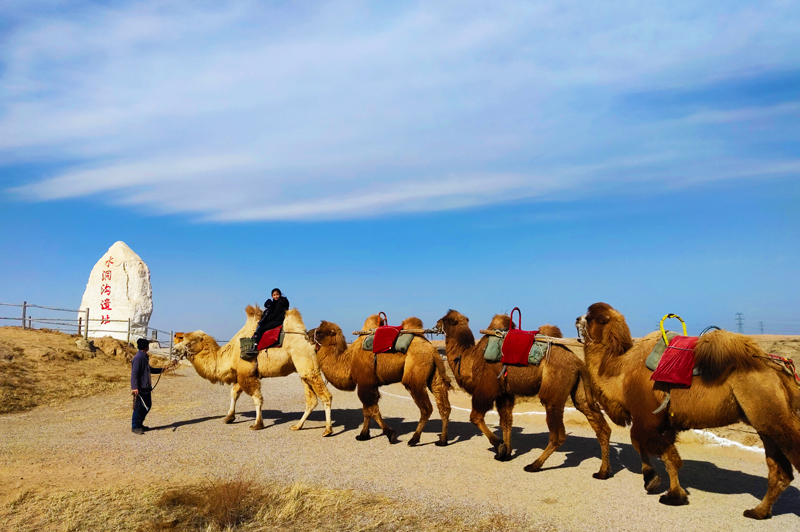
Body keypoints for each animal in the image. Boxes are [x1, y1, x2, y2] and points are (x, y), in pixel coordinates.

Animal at [177, 306, 332, 434]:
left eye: (189, 342)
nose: (175, 349)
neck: (231, 353)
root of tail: (312, 342)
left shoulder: (248, 374)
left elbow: (257, 398)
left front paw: (257, 424)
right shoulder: (242, 374)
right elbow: (234, 393)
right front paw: (229, 417)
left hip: (307, 364)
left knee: (326, 396)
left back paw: (327, 430)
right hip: (302, 370)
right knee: (311, 400)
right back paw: (297, 426)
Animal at [310, 316, 454, 444]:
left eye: (320, 332)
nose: (308, 333)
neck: (348, 361)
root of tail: (433, 350)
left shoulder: (366, 383)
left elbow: (372, 410)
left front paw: (390, 434)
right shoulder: (367, 384)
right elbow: (366, 411)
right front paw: (363, 435)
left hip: (415, 377)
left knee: (426, 408)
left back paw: (414, 439)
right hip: (435, 376)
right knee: (444, 406)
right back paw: (442, 440)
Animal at [434, 310, 608, 476]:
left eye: (445, 319)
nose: (436, 324)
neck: (467, 359)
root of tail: (578, 362)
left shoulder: (486, 389)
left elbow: (475, 417)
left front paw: (499, 446)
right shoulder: (504, 393)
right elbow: (506, 422)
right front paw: (505, 454)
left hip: (554, 393)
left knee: (558, 435)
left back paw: (534, 465)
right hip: (580, 391)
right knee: (598, 423)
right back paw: (603, 472)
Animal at [576, 304, 800, 520]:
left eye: (590, 317)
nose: (577, 319)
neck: (621, 373)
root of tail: (781, 370)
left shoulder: (649, 418)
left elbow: (653, 450)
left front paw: (668, 492)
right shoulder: (660, 422)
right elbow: (656, 451)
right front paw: (660, 485)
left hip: (774, 415)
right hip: (766, 423)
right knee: (780, 472)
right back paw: (758, 512)